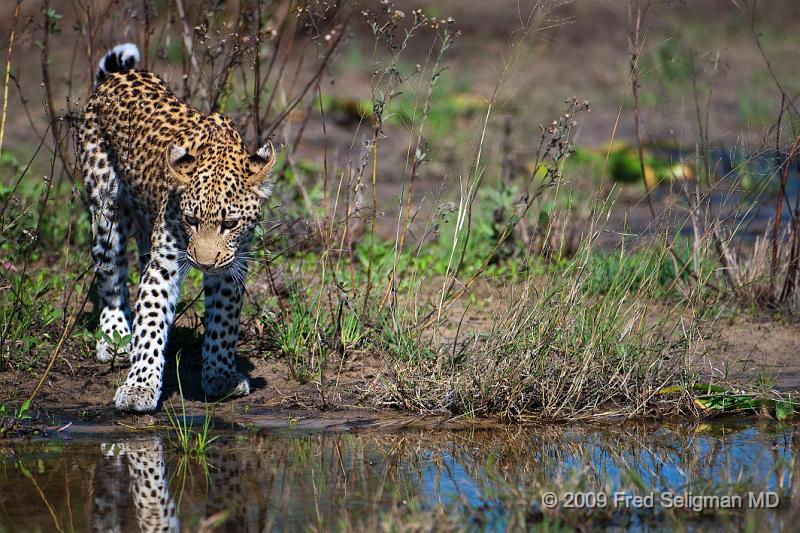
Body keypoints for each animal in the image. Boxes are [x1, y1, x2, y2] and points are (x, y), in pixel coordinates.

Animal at [78, 43, 276, 413]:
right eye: (191, 220)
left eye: (230, 224)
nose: (204, 263)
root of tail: (120, 74)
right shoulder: (164, 264)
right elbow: (151, 320)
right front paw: (140, 386)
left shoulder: (231, 266)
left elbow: (223, 321)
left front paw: (220, 375)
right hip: (104, 206)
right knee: (110, 271)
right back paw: (115, 334)